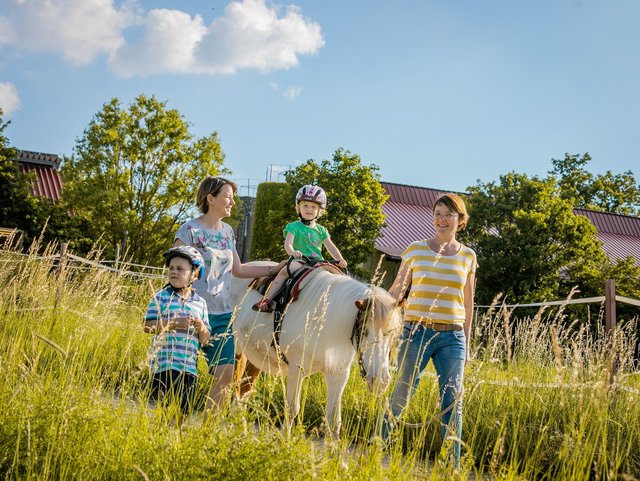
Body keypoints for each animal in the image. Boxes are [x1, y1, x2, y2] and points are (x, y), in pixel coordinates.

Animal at [230, 260, 402, 436]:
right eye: (364, 331)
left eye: (393, 334)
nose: (380, 381)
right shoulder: (296, 370)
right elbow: (292, 410)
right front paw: (285, 439)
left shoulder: (338, 376)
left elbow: (334, 421)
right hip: (236, 349)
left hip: (255, 358)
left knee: (243, 391)